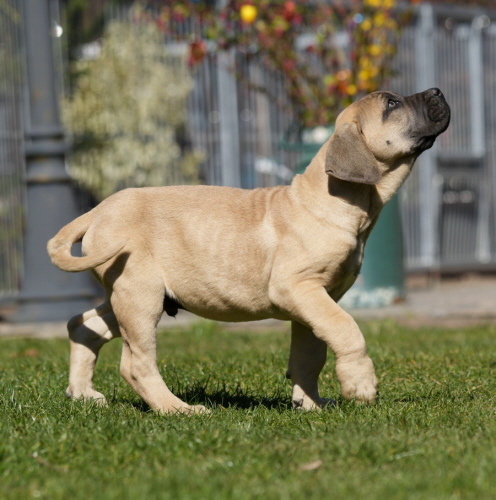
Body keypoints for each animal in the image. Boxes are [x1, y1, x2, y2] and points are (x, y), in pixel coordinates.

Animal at [48, 88, 450, 414]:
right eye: (392, 104)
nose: (437, 91)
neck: (332, 200)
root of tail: (97, 211)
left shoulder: (316, 299)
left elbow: (311, 353)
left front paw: (310, 404)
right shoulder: (297, 288)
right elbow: (346, 329)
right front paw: (360, 384)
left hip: (129, 295)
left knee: (82, 325)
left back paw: (83, 394)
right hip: (139, 295)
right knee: (135, 364)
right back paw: (177, 409)